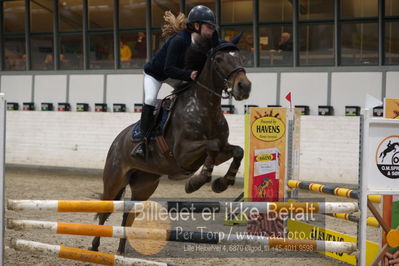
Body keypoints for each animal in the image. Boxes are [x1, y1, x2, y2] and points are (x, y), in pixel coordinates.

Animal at [92, 38, 252, 252]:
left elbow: (236, 151)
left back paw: (120, 250)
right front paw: (195, 182)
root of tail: (117, 140)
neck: (205, 109)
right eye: (219, 59)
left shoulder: (221, 150)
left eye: (241, 57)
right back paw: (94, 247)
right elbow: (211, 145)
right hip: (114, 180)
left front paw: (221, 183)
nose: (244, 86)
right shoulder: (183, 154)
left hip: (144, 186)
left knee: (128, 215)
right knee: (104, 211)